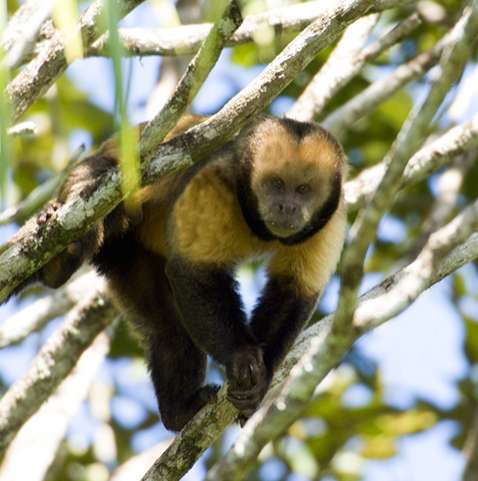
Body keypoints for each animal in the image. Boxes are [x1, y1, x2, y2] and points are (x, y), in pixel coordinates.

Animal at [26, 117, 346, 432]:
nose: (287, 206)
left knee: (169, 330)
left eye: (303, 189)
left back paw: (179, 411)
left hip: (128, 255)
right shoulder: (214, 179)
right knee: (101, 184)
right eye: (276, 184)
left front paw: (263, 376)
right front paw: (241, 356)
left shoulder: (329, 219)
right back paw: (61, 258)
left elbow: (294, 291)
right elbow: (192, 272)